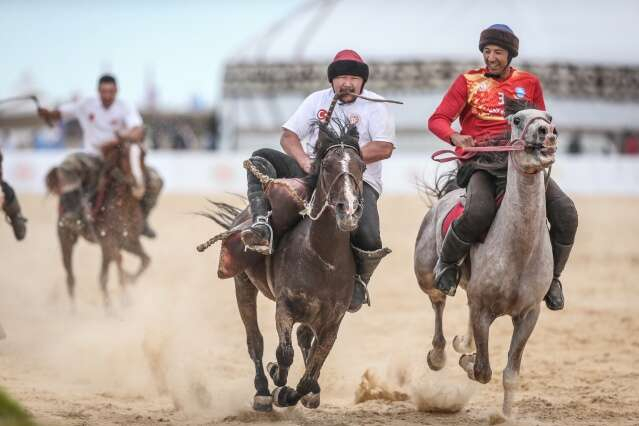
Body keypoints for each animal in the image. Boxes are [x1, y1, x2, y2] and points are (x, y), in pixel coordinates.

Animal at [46, 141, 150, 307]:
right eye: (124, 156)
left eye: (143, 155)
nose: (138, 185)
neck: (123, 206)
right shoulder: (109, 241)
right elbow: (119, 263)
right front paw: (125, 300)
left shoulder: (129, 241)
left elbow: (145, 260)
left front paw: (128, 283)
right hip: (65, 236)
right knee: (70, 278)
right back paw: (73, 310)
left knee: (102, 277)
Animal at [204, 121, 371, 411]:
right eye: (328, 166)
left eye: (361, 165)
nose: (348, 210)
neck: (323, 258)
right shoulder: (285, 307)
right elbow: (284, 353)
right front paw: (276, 379)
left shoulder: (332, 323)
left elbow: (310, 371)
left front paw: (296, 392)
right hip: (243, 284)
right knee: (255, 341)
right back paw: (262, 391)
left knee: (303, 340)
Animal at [414, 106, 558, 418]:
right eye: (517, 120)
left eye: (549, 118)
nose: (547, 133)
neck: (519, 251)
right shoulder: (483, 311)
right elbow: (482, 369)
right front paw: (466, 361)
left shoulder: (529, 314)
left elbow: (510, 373)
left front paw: (505, 416)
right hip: (427, 277)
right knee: (438, 303)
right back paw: (439, 354)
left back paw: (460, 344)